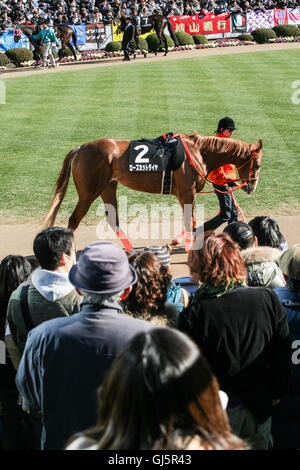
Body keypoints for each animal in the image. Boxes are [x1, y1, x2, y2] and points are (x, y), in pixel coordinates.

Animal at [44, 134, 262, 252]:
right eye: (258, 164)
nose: (251, 187)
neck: (198, 153)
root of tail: (81, 148)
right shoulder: (188, 193)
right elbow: (190, 221)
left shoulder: (183, 195)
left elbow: (189, 221)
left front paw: (174, 244)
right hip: (89, 192)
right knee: (74, 219)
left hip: (108, 187)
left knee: (112, 219)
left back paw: (131, 249)